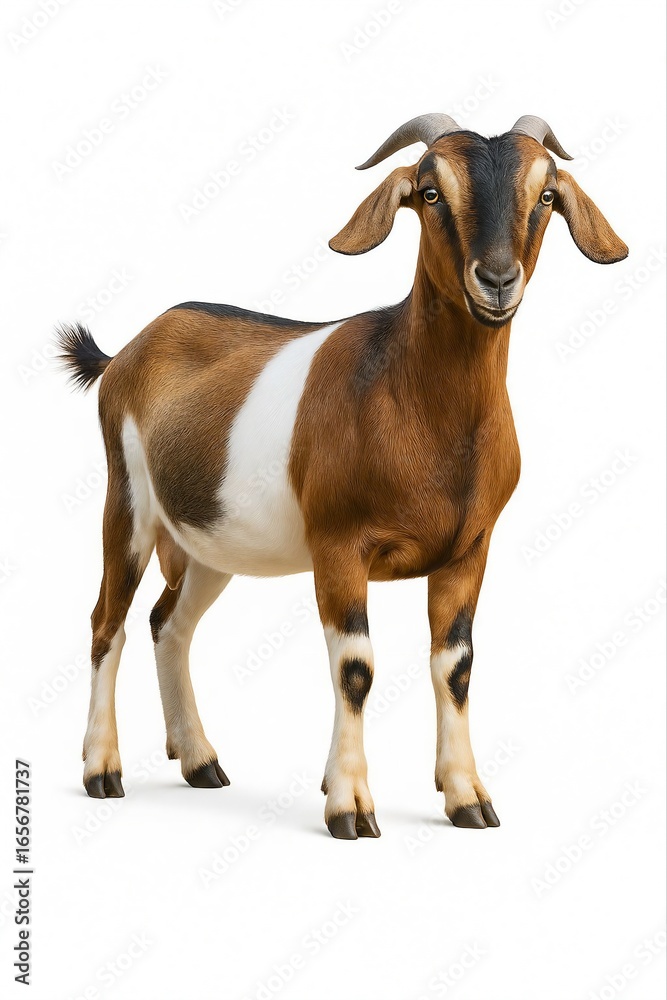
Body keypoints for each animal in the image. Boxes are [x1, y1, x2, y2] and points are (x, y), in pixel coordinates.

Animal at [58, 113, 627, 838]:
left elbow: (456, 667)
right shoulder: (338, 546)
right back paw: (102, 770)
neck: (414, 403)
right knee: (108, 620)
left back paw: (200, 761)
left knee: (169, 622)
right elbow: (355, 668)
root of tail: (127, 351)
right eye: (430, 192)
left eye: (546, 195)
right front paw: (349, 805)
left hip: (209, 539)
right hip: (127, 499)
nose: (496, 279)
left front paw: (467, 798)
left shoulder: (468, 551)